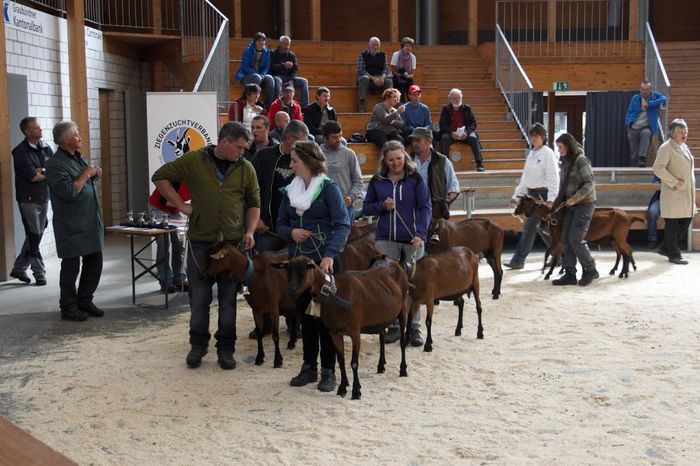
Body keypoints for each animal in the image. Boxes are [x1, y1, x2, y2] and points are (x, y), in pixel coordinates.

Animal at [270, 255, 408, 400]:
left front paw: (356, 391)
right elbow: (341, 361)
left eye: (304, 270)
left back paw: (403, 370)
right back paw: (381, 366)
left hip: (403, 308)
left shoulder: (355, 332)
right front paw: (342, 388)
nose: (292, 292)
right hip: (383, 316)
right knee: (382, 337)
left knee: (402, 341)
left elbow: (354, 363)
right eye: (287, 271)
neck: (334, 293)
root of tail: (393, 261)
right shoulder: (335, 332)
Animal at [516, 196, 644, 278]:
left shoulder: (559, 241)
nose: (516, 211)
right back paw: (619, 271)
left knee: (626, 251)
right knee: (622, 252)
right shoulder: (557, 241)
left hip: (619, 237)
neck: (556, 217)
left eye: (525, 203)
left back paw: (624, 272)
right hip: (615, 239)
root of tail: (629, 217)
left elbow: (557, 256)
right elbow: (550, 253)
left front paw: (548, 273)